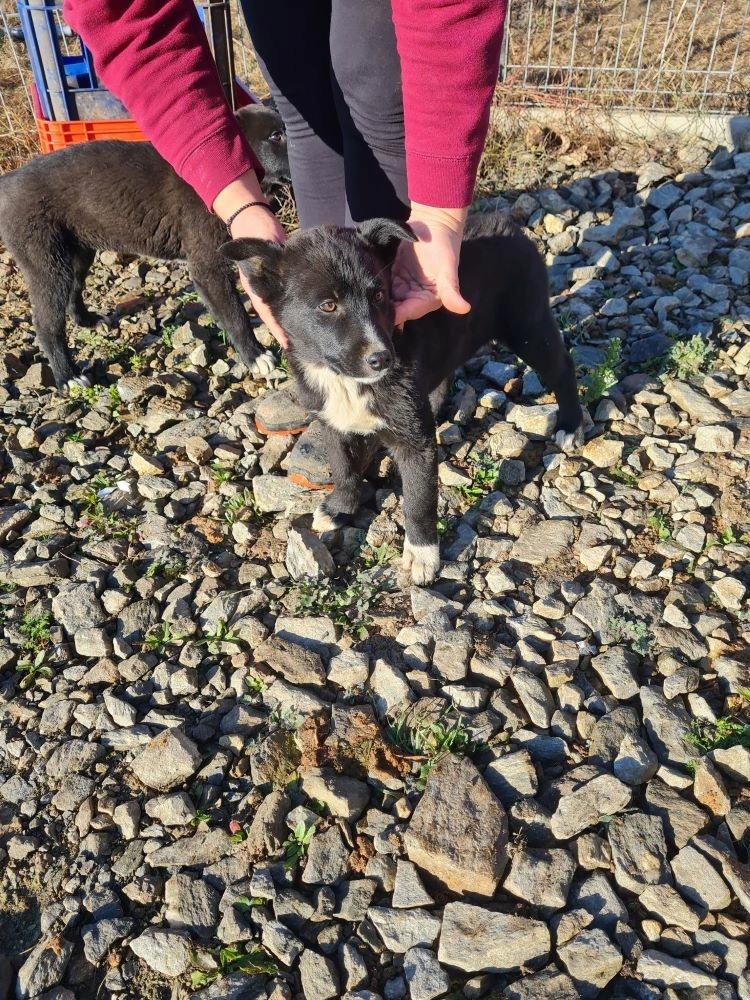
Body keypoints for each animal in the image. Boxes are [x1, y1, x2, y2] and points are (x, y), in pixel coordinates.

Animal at [0, 104, 290, 386]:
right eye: (276, 136)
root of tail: (8, 181)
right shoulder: (208, 268)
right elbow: (234, 315)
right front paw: (255, 356)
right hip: (45, 261)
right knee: (46, 323)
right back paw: (67, 375)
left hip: (77, 252)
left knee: (73, 290)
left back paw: (88, 321)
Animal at [223, 213, 588, 584]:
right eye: (328, 305)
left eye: (379, 294)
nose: (382, 359)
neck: (345, 382)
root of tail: (507, 222)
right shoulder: (332, 421)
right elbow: (344, 469)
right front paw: (340, 507)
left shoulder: (415, 445)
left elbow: (419, 500)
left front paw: (422, 554)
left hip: (527, 326)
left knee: (563, 367)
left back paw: (571, 424)